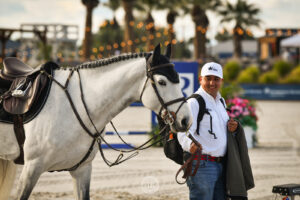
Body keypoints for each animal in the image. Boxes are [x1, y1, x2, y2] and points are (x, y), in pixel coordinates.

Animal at [0, 44, 192, 200]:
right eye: (162, 81)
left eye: (179, 79)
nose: (186, 120)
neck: (70, 107)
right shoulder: (32, 169)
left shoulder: (82, 170)